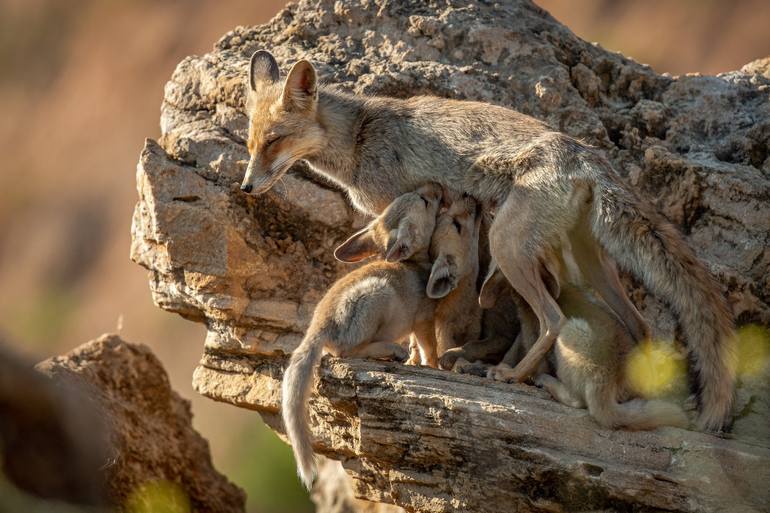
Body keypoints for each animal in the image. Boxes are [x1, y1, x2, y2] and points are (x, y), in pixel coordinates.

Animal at [243, 51, 736, 428]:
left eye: (274, 141)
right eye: (250, 145)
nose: (246, 187)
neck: (362, 138)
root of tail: (585, 154)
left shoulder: (406, 203)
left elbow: (417, 293)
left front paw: (417, 358)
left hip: (507, 245)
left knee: (553, 319)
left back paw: (513, 375)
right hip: (590, 262)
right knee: (640, 324)